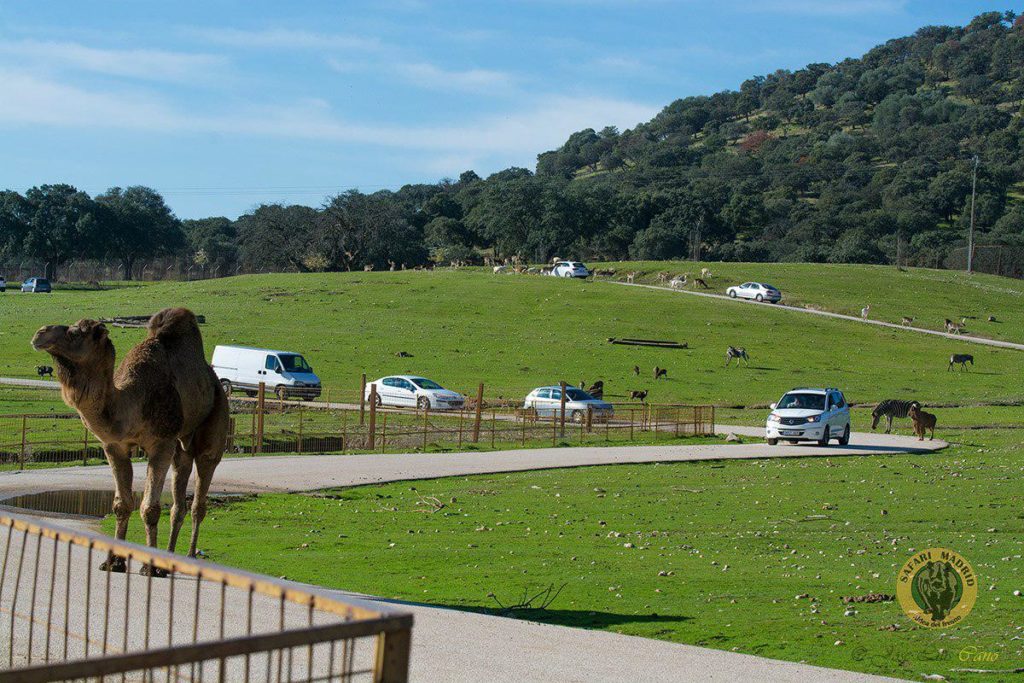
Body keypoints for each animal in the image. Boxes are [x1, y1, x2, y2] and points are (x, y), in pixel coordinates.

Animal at [32, 309, 228, 573]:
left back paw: (189, 556)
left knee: (200, 495)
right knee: (179, 496)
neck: (130, 402)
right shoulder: (115, 446)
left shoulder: (161, 443)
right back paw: (170, 558)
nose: (40, 332)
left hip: (214, 426)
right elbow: (122, 505)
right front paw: (113, 562)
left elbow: (150, 508)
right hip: (181, 446)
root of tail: (215, 381)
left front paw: (150, 567)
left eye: (75, 332)